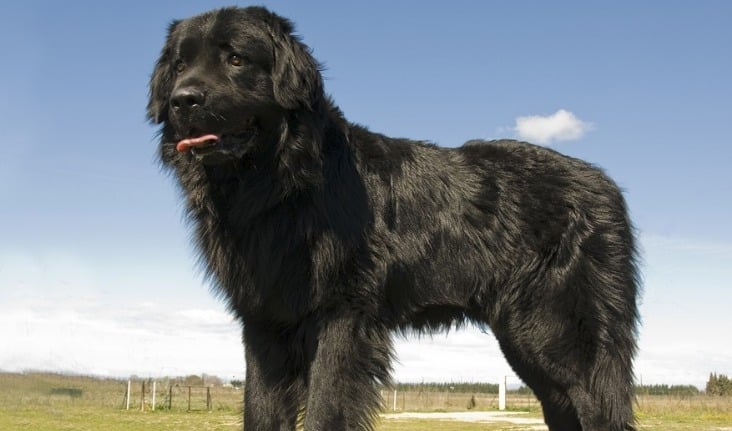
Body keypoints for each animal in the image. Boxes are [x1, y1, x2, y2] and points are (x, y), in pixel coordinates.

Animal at [149, 6, 640, 431]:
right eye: (179, 64)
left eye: (235, 58)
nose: (182, 100)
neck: (281, 182)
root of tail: (606, 185)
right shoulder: (264, 321)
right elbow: (261, 411)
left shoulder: (341, 316)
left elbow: (325, 408)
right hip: (527, 342)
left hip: (559, 335)